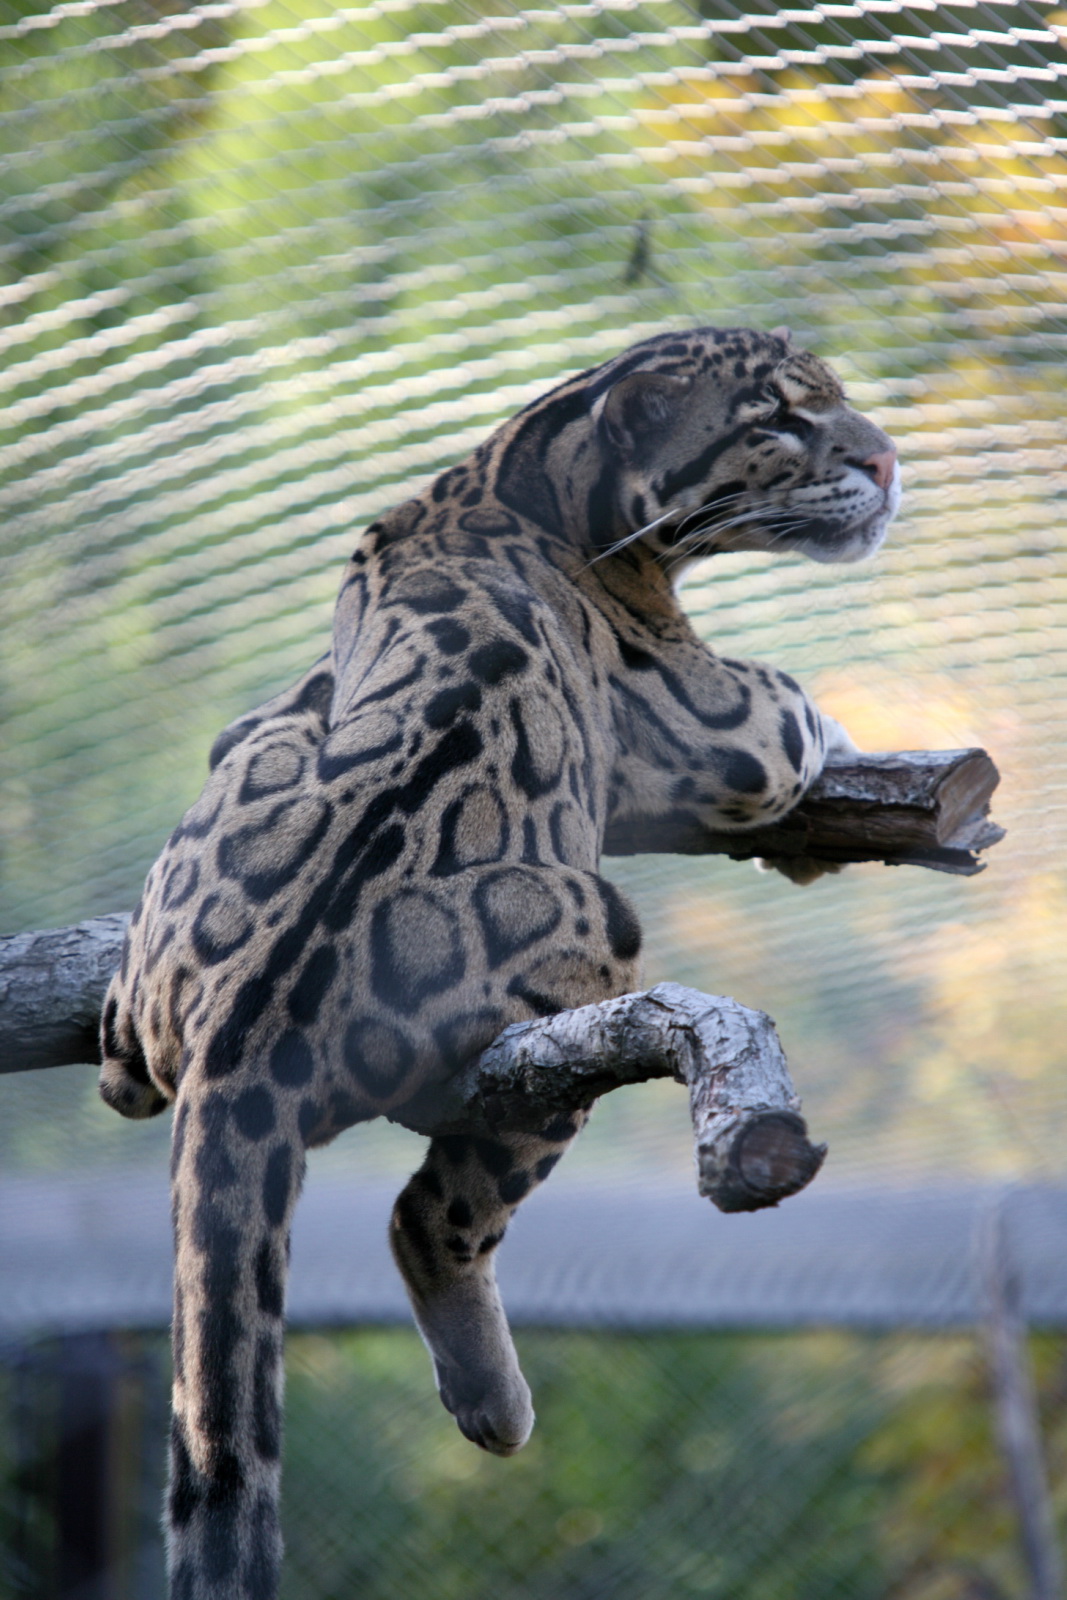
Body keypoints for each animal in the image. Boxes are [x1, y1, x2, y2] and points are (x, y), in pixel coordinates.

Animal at [98, 325, 899, 1600]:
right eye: (778, 418)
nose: (883, 461)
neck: (511, 468)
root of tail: (240, 1040)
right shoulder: (723, 722)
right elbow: (797, 707)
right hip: (587, 944)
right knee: (428, 1216)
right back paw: (495, 1406)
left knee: (129, 1068)